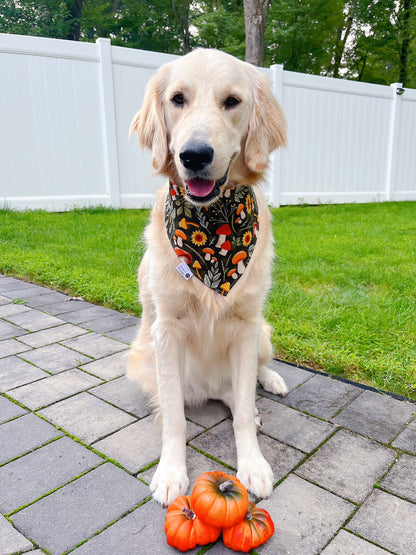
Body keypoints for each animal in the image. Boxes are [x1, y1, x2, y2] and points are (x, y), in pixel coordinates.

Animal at [128, 48, 288, 508]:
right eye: (178, 99)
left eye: (232, 101)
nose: (194, 155)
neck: (213, 225)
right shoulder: (166, 331)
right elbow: (174, 419)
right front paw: (170, 472)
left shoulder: (247, 325)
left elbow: (243, 410)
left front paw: (253, 464)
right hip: (142, 359)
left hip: (262, 333)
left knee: (249, 380)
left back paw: (269, 383)